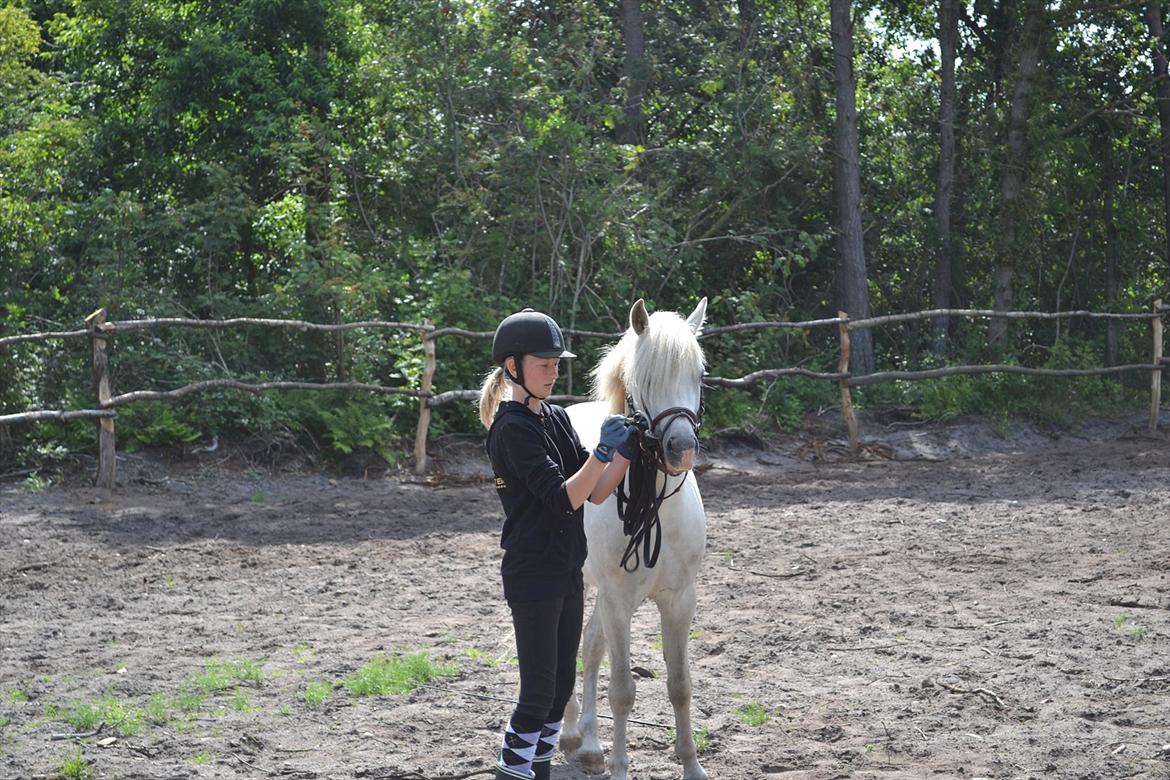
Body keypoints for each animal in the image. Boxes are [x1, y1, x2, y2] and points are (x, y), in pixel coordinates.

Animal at [562, 297, 709, 780]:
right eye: (643, 379)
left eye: (698, 374)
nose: (681, 449)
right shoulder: (618, 599)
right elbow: (623, 690)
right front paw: (622, 767)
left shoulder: (679, 599)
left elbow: (680, 684)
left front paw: (692, 767)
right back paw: (571, 733)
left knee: (590, 647)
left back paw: (590, 744)